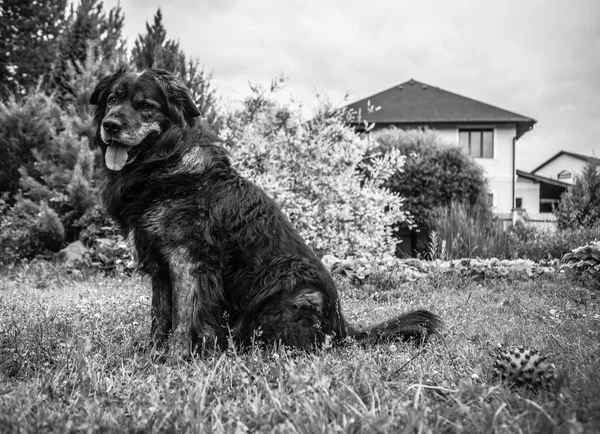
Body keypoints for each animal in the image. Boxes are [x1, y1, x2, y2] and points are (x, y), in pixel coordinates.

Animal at [89, 68, 440, 356]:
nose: (110, 125)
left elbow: (183, 318)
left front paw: (175, 359)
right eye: (112, 100)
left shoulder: (187, 260)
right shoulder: (160, 266)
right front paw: (151, 353)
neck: (165, 162)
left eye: (145, 105)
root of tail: (342, 328)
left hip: (291, 284)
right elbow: (159, 316)